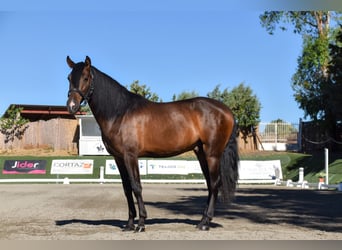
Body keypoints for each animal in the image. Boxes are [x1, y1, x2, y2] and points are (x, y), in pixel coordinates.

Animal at [65, 55, 239, 231]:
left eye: (85, 78)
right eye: (69, 78)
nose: (71, 106)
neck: (120, 112)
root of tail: (226, 111)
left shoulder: (130, 156)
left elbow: (136, 186)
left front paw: (141, 223)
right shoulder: (118, 158)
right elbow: (126, 189)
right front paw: (129, 224)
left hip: (213, 154)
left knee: (215, 183)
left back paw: (205, 223)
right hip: (201, 153)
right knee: (210, 184)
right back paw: (202, 221)